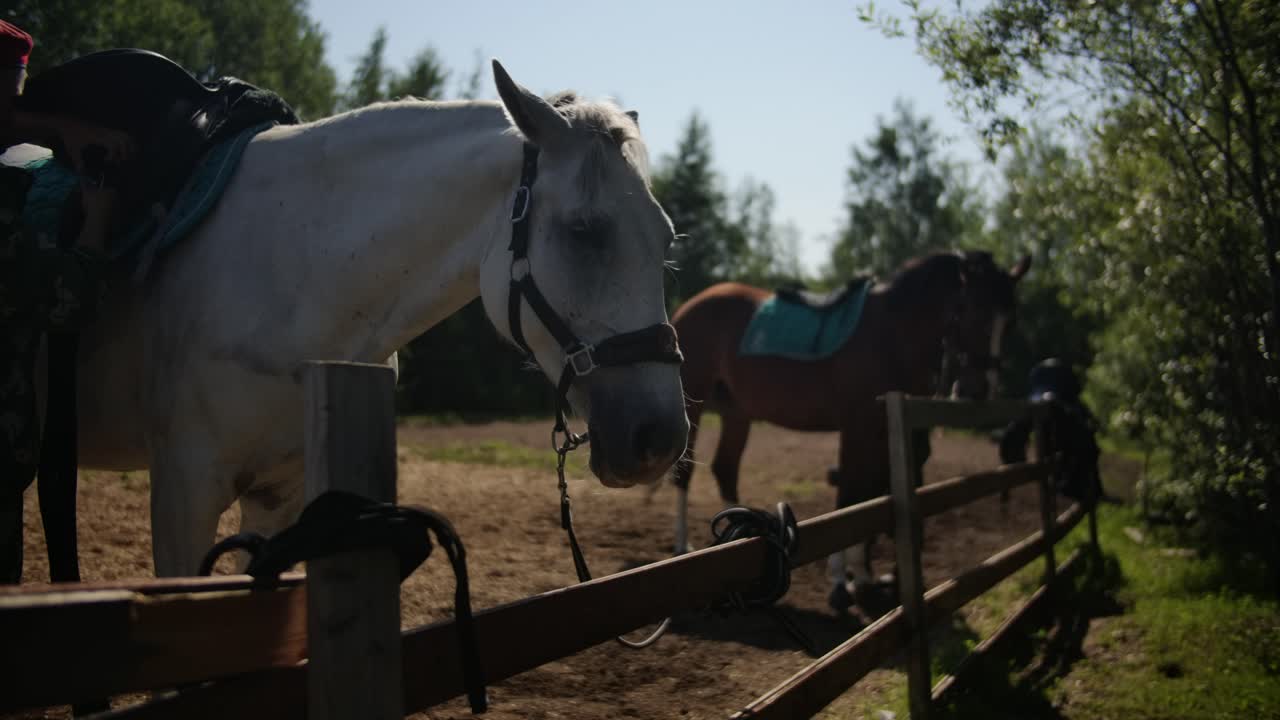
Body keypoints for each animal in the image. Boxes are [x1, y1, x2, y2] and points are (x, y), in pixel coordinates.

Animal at [23, 60, 689, 578]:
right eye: (585, 231)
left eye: (666, 240)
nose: (659, 437)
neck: (291, 271)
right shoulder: (184, 493)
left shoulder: (279, 495)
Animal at [668, 250, 1030, 610]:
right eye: (965, 308)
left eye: (1011, 320)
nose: (976, 390)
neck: (892, 333)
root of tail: (690, 306)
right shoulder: (857, 428)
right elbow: (850, 499)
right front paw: (841, 583)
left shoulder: (883, 431)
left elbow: (869, 500)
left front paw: (863, 578)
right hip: (693, 406)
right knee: (685, 473)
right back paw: (684, 548)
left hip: (737, 413)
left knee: (725, 469)